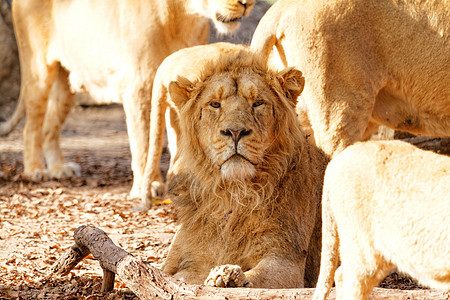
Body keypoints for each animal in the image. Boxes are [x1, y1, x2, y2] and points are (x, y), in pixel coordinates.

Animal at [160, 48, 328, 288]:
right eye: (215, 104)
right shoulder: (180, 263)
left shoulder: (286, 261)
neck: (232, 196)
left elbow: (257, 277)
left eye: (258, 103)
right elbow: (177, 277)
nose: (235, 132)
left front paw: (228, 277)